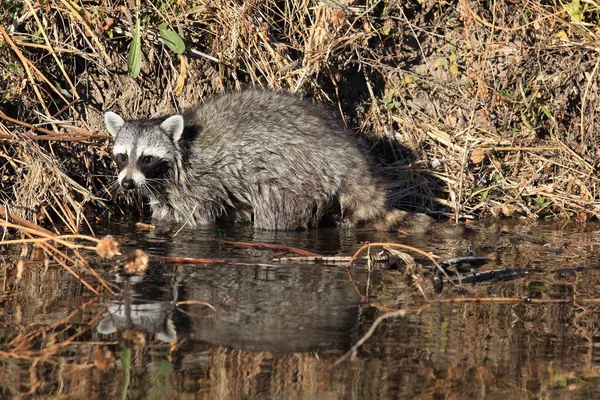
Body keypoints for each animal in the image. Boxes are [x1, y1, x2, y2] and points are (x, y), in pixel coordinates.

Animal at [104, 89, 408, 230]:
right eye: (122, 156)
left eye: (146, 158)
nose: (127, 184)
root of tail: (346, 153)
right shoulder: (162, 189)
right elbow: (163, 213)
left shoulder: (196, 186)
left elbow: (199, 220)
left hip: (295, 176)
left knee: (275, 212)